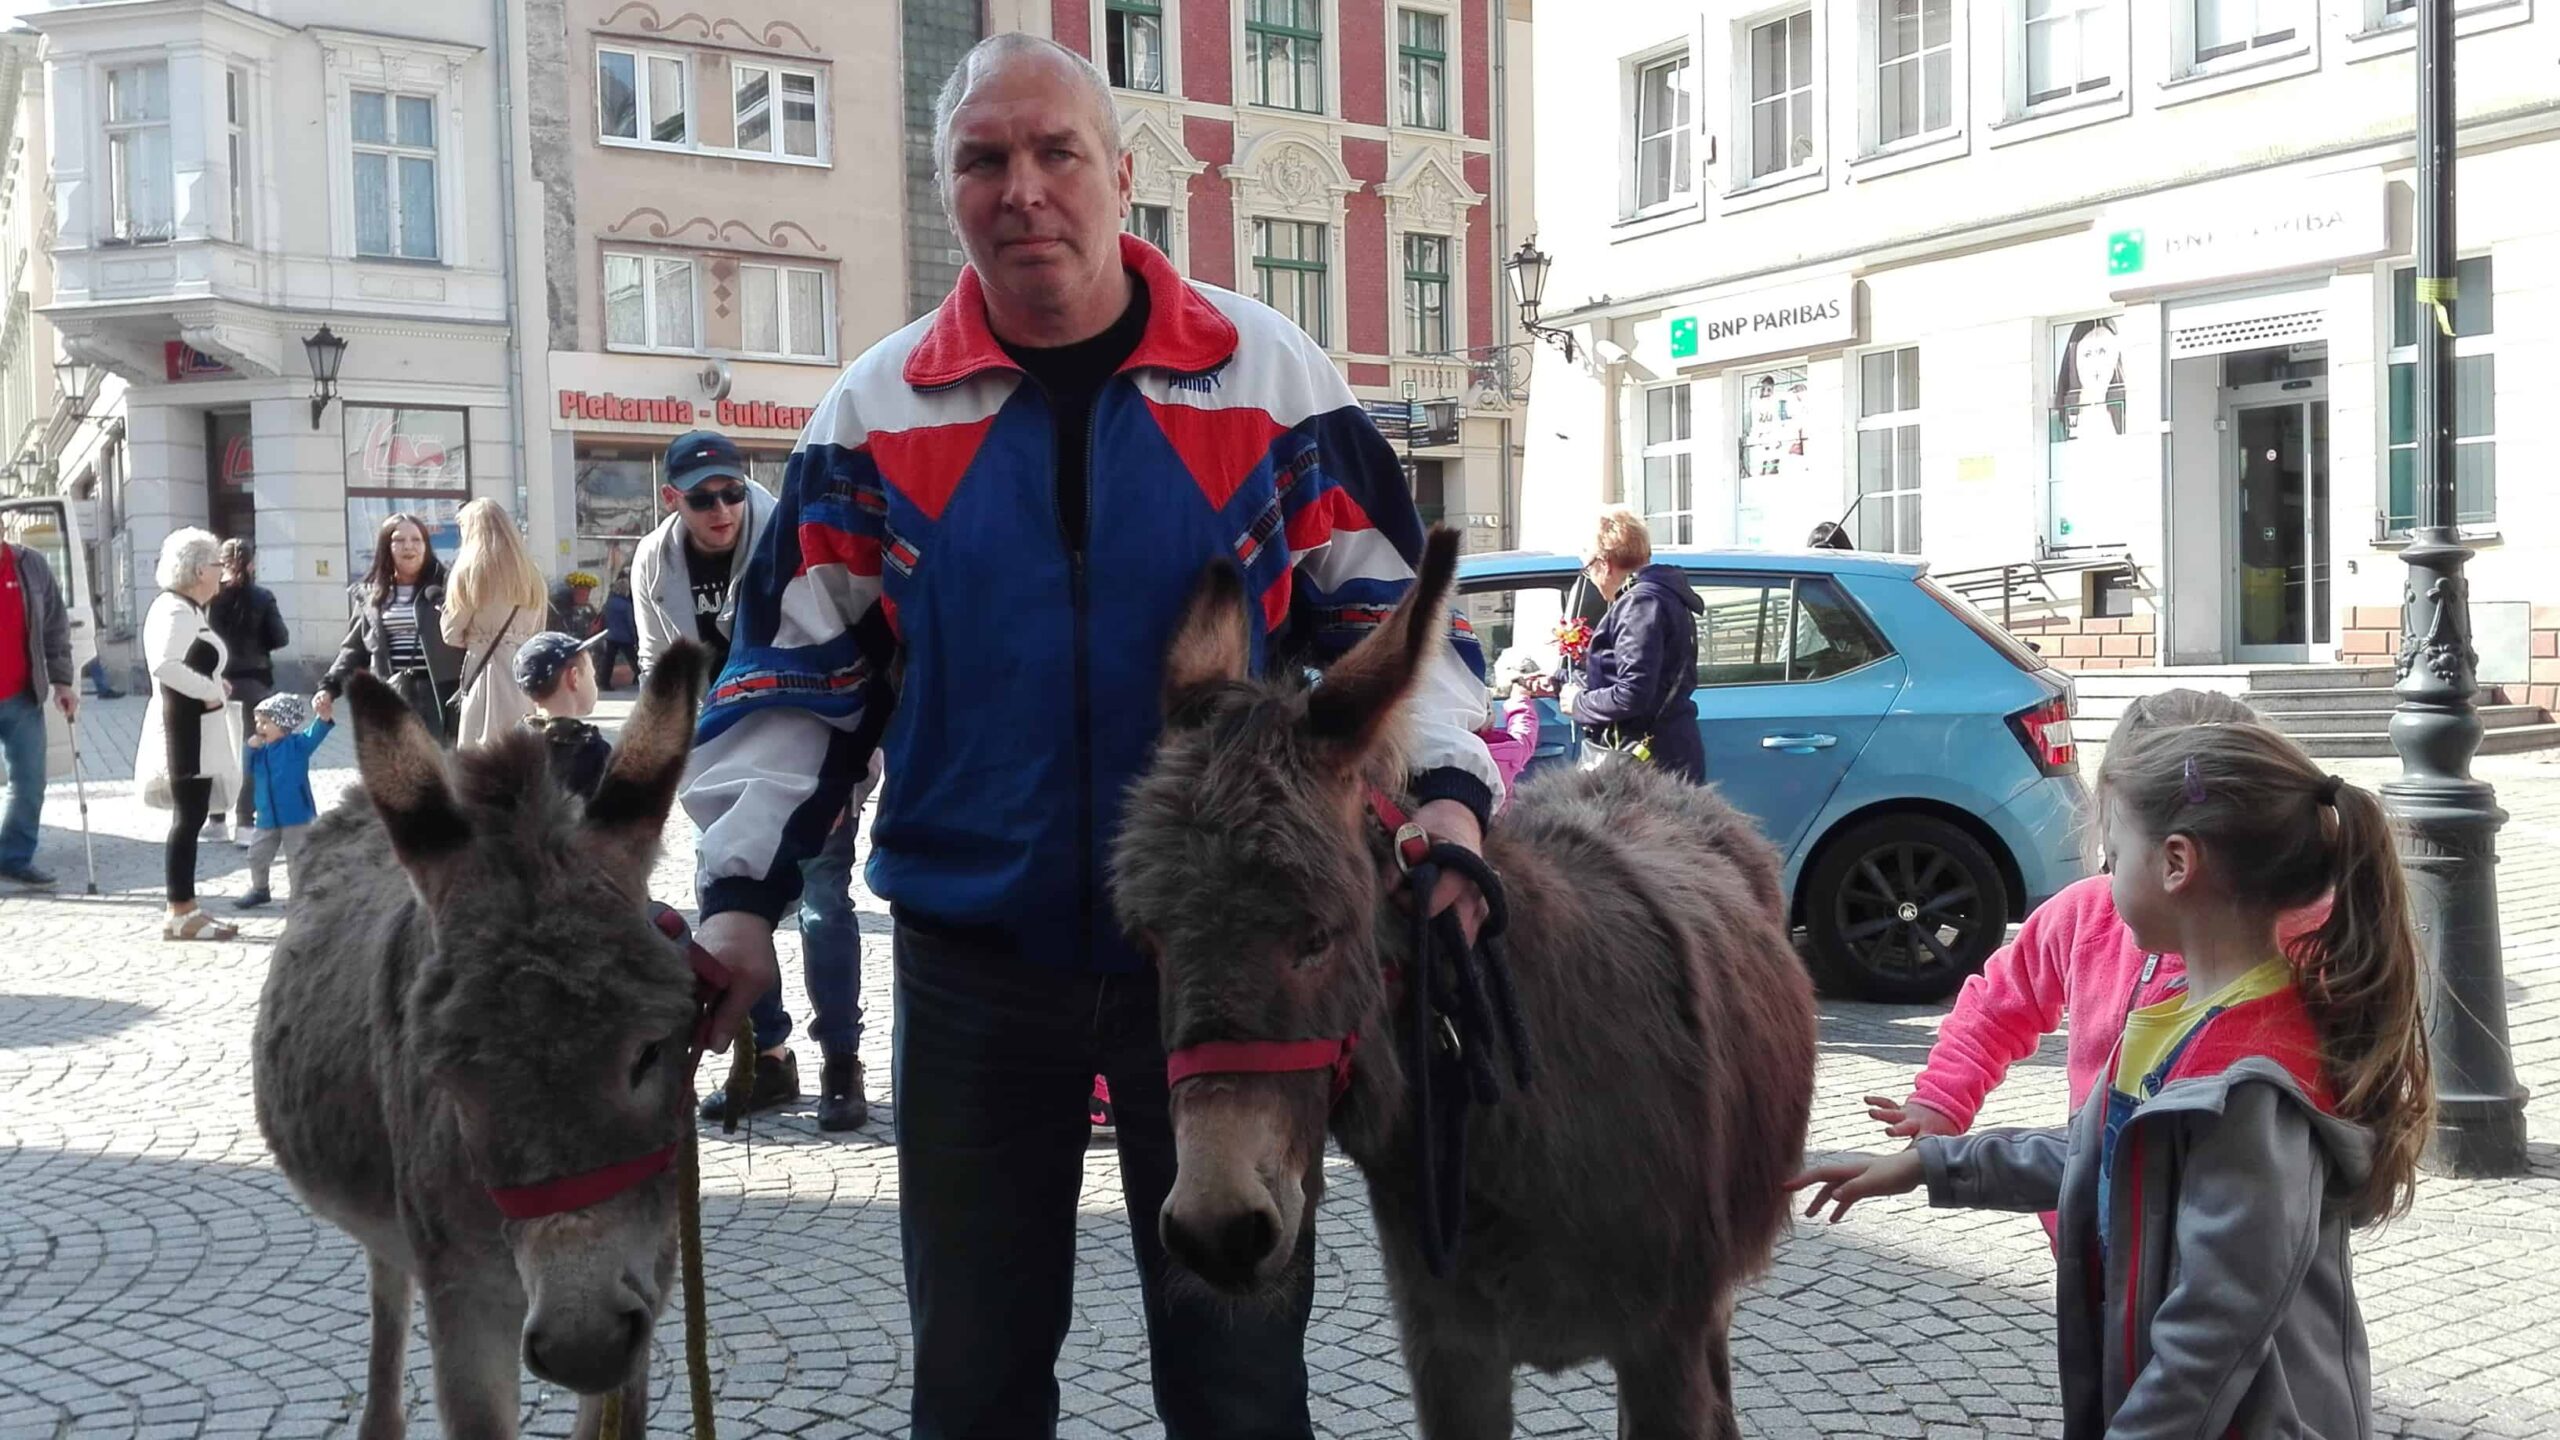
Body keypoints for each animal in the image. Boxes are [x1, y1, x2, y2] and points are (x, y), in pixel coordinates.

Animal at [253, 644, 709, 1439]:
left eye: (652, 1052)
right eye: (450, 1079)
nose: (584, 1344)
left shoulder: (651, 1274)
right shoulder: (462, 1296)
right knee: (387, 1287)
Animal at [1112, 531, 1818, 1439]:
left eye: (1320, 934)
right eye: (1148, 939)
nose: (1215, 1231)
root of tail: (1641, 772)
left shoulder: (1663, 1346)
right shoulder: (1447, 1348)